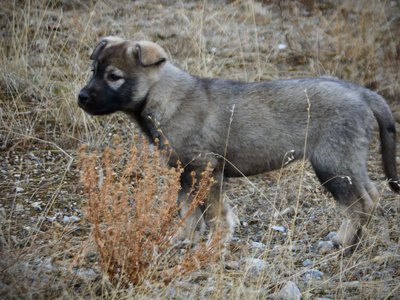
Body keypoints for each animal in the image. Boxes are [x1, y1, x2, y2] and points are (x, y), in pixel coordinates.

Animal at [79, 37, 400, 248]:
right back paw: (353, 240)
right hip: (348, 163)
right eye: (93, 70)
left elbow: (214, 215)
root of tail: (363, 93)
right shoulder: (185, 173)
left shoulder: (205, 169)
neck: (164, 97)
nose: (81, 97)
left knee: (359, 203)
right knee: (371, 196)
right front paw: (180, 239)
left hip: (333, 164)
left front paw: (215, 245)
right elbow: (187, 212)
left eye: (114, 77)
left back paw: (343, 242)